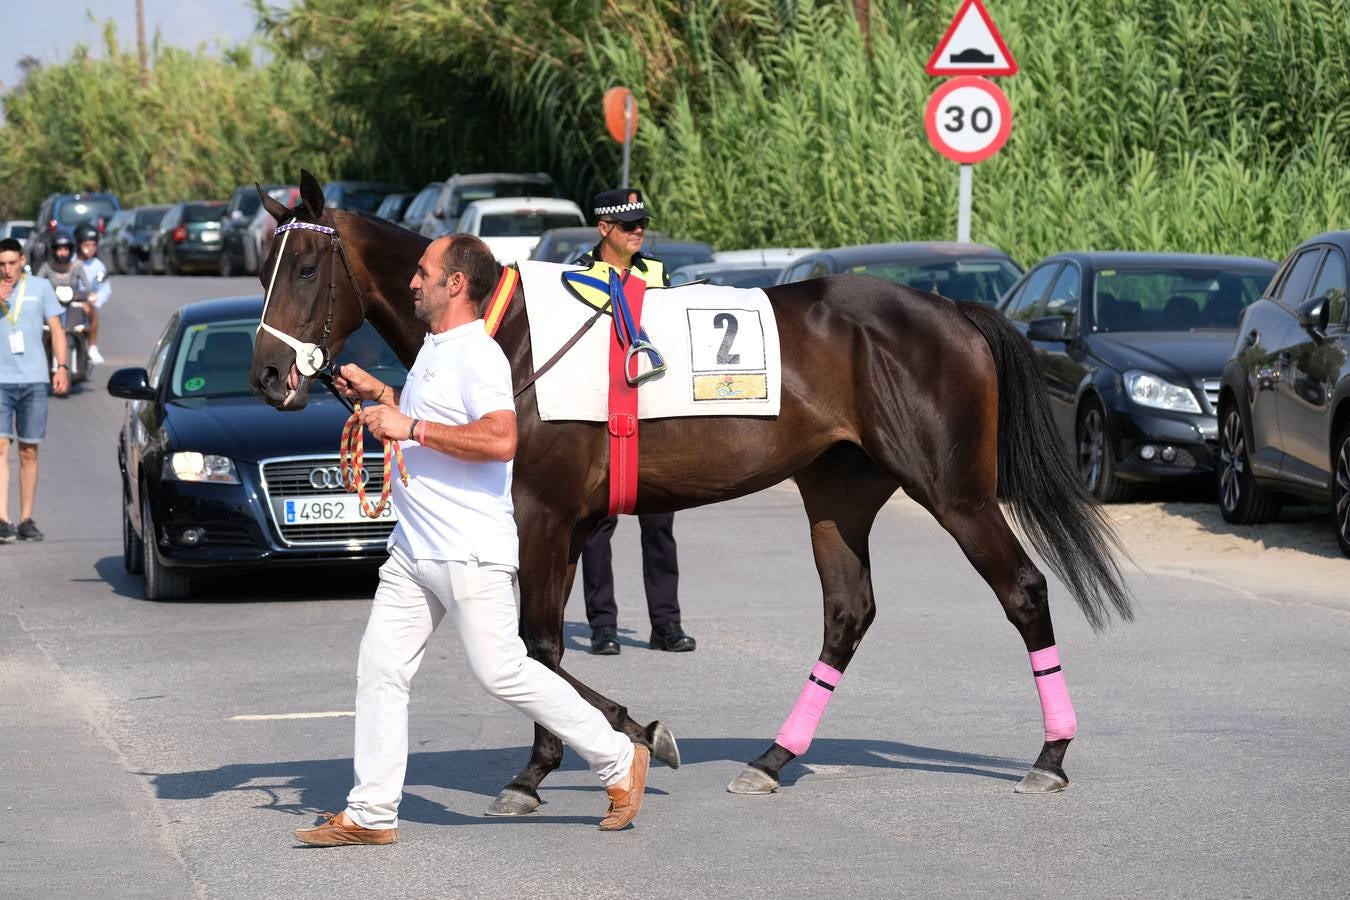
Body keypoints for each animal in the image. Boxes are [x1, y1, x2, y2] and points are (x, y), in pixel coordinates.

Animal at [251, 174, 1128, 814]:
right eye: (262, 271)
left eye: (306, 269)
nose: (267, 372)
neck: (511, 337)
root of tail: (952, 310)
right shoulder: (570, 524)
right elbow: (543, 649)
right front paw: (614, 736)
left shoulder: (543, 515)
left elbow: (538, 646)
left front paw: (558, 762)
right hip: (838, 492)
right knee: (848, 614)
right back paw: (774, 757)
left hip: (956, 492)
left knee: (1022, 590)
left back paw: (1051, 755)